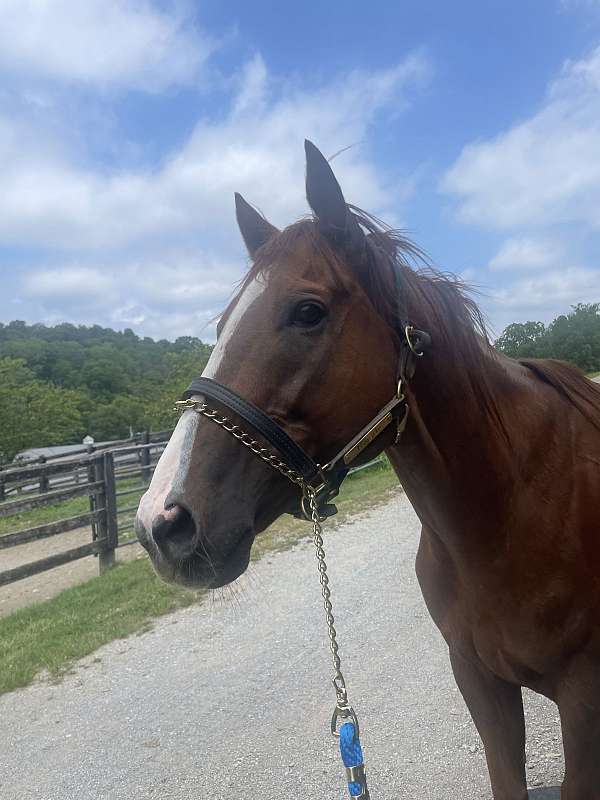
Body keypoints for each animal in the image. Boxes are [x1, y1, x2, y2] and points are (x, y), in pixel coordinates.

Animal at [135, 140, 600, 800]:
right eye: (223, 326)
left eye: (308, 311)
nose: (161, 523)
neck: (510, 518)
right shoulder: (481, 685)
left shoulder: (583, 704)